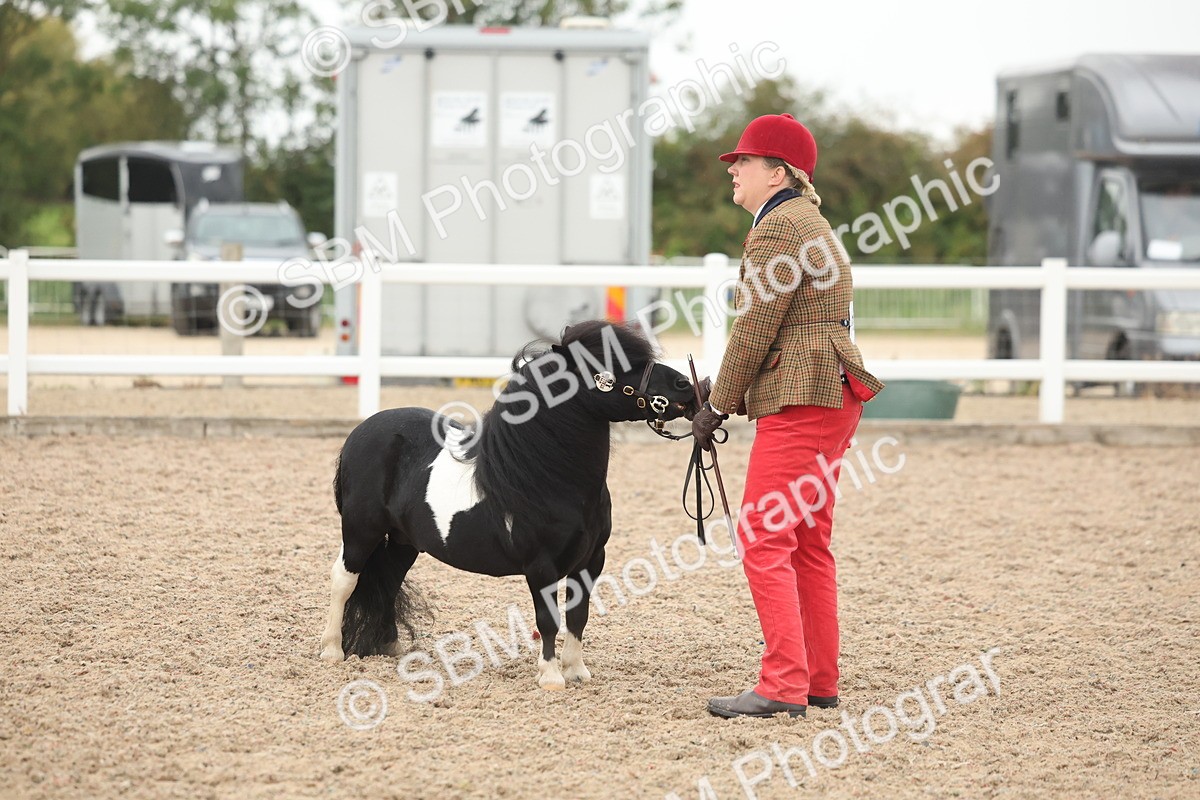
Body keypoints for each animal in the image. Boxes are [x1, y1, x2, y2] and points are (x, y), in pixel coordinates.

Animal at [318, 320, 698, 690]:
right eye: (610, 365)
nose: (685, 386)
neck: (552, 480)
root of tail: (361, 432)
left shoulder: (591, 560)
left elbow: (578, 615)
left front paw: (576, 671)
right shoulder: (540, 565)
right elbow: (548, 619)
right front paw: (551, 677)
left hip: (403, 541)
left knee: (389, 580)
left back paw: (390, 648)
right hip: (361, 530)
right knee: (344, 579)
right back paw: (332, 651)